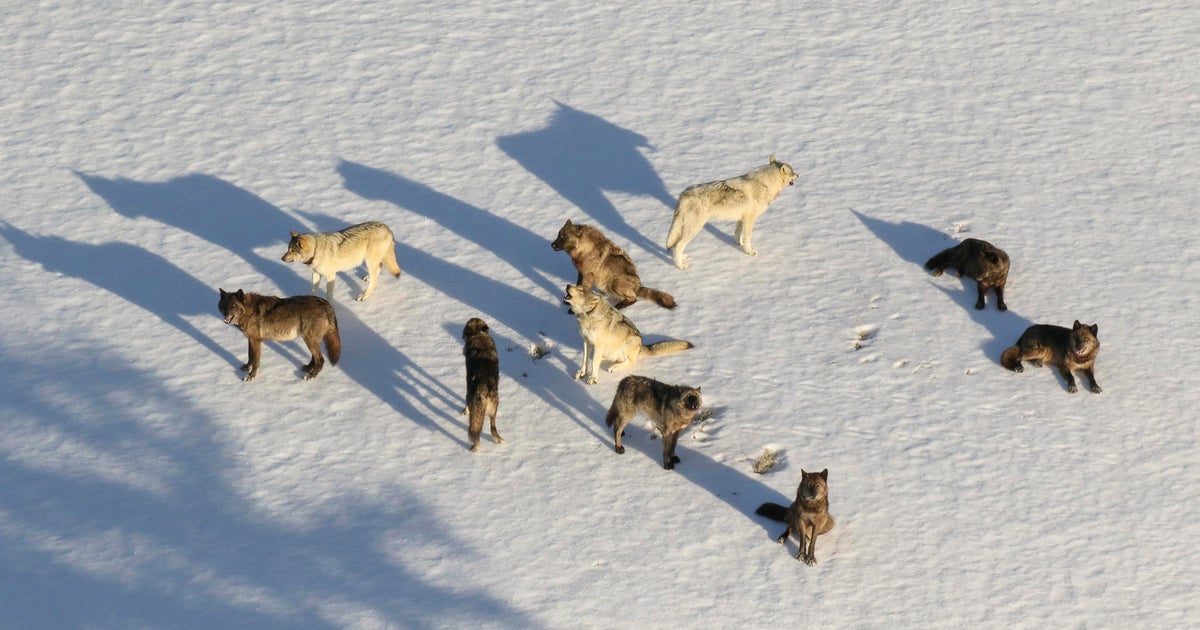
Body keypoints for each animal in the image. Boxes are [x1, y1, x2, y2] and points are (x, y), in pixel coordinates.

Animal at [456, 316, 499, 448]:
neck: (478, 334)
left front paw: (464, 412)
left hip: (475, 410)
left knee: (476, 433)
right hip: (493, 410)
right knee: (492, 428)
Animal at [561, 283, 696, 384]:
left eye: (580, 289)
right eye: (576, 286)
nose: (567, 285)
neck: (588, 314)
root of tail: (641, 346)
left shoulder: (598, 344)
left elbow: (594, 362)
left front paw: (593, 378)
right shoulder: (586, 341)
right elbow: (584, 359)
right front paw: (582, 373)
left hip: (629, 342)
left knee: (630, 362)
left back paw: (613, 367)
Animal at [667, 156, 796, 268]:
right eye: (793, 172)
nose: (798, 175)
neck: (765, 184)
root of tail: (682, 195)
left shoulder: (741, 219)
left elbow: (738, 234)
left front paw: (740, 245)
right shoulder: (750, 219)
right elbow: (748, 237)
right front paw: (750, 251)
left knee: (675, 246)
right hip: (694, 229)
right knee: (678, 246)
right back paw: (681, 266)